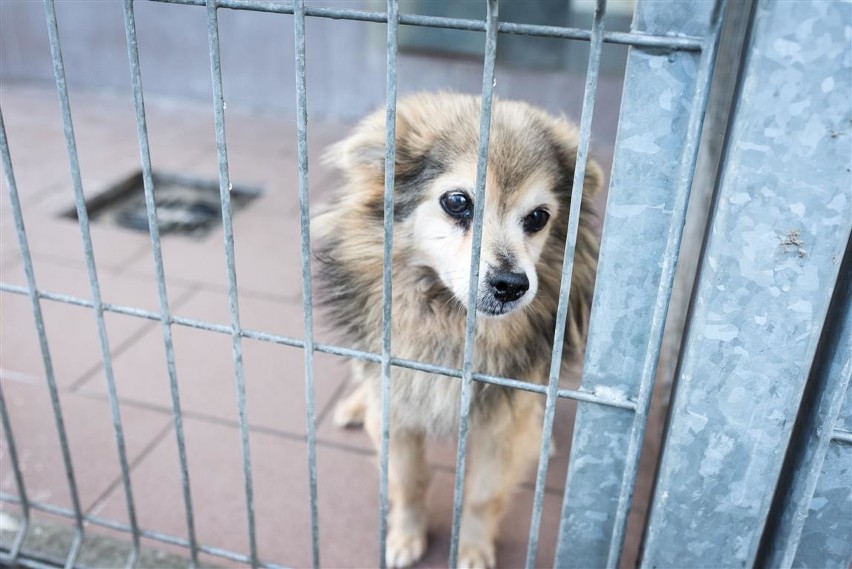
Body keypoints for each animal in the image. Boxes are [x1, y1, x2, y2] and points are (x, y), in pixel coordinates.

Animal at [312, 91, 600, 564]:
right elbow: (408, 482)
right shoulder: (397, 412)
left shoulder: (501, 430)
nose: (512, 285)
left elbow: (483, 496)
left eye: (538, 217)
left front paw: (473, 548)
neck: (451, 317)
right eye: (457, 202)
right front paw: (406, 537)